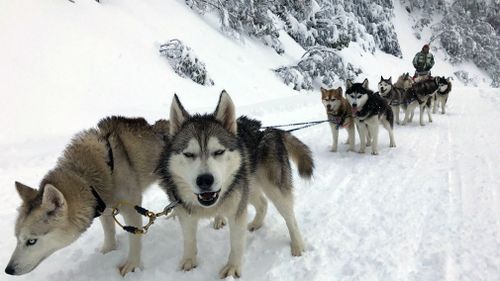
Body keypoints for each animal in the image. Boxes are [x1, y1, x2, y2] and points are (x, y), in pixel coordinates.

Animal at [5, 116, 169, 276]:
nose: (8, 270)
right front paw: (108, 251)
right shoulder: (104, 207)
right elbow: (109, 232)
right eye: (17, 238)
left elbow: (135, 239)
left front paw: (132, 265)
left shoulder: (131, 210)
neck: (87, 178)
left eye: (31, 241)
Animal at [159, 90, 312, 278]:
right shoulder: (185, 211)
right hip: (248, 187)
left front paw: (232, 267)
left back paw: (298, 245)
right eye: (188, 154)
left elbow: (236, 243)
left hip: (274, 189)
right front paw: (189, 260)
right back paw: (256, 223)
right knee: (263, 203)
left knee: (290, 218)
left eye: (218, 152)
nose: (205, 180)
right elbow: (189, 239)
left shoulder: (236, 211)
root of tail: (270, 130)